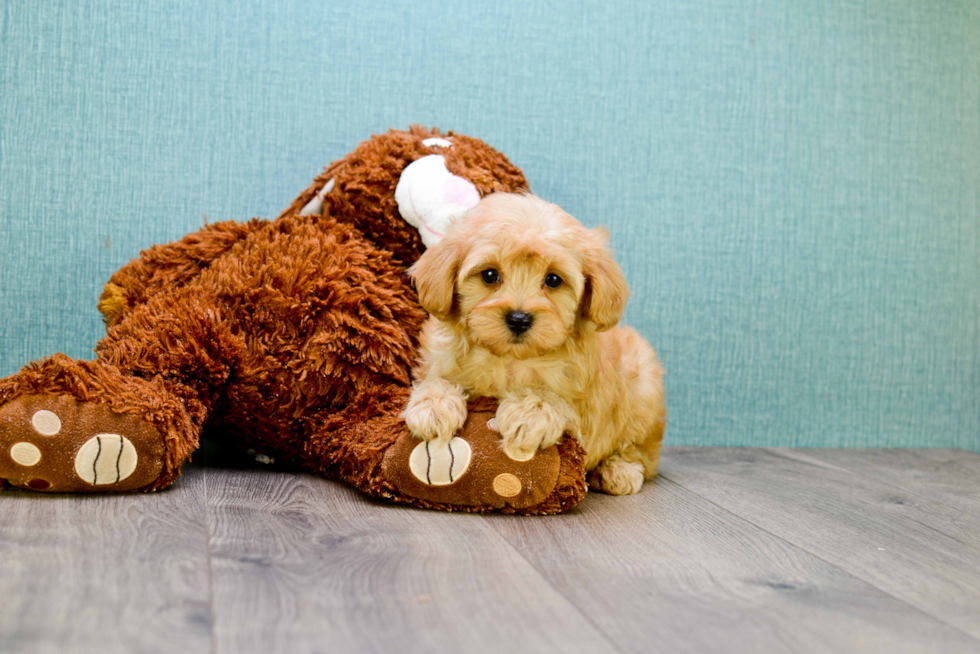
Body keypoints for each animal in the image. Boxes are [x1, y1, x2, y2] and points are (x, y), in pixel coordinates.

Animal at [400, 192, 668, 494]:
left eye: (553, 280)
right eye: (489, 275)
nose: (519, 319)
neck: (508, 359)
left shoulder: (582, 403)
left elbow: (555, 399)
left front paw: (529, 414)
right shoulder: (438, 357)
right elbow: (436, 379)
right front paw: (433, 407)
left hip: (643, 388)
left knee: (642, 452)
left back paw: (618, 470)